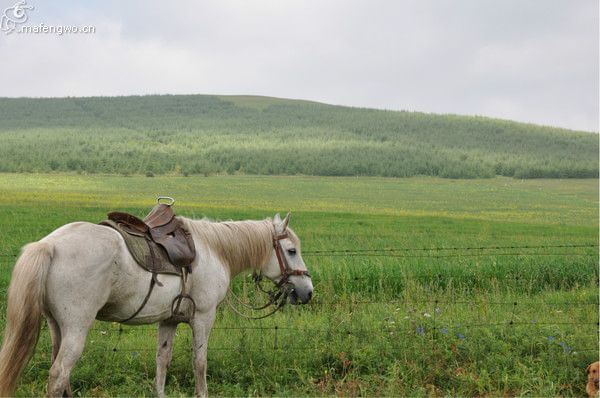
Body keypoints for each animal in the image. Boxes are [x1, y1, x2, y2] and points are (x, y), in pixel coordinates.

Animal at [0, 211, 312, 394]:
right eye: (291, 251)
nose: (308, 292)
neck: (215, 250)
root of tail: (49, 245)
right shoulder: (204, 317)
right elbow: (199, 363)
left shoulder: (169, 320)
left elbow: (163, 360)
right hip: (77, 328)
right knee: (58, 374)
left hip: (57, 326)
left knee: (61, 374)